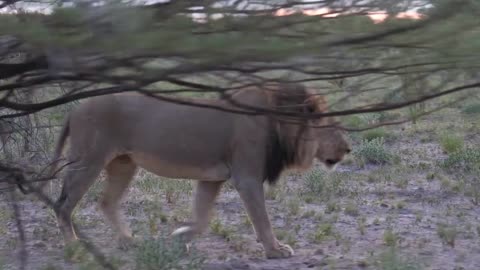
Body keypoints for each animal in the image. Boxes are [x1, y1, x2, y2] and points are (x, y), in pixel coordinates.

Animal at [47, 83, 350, 260]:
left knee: (107, 202)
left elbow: (203, 218)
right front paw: (276, 250)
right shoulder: (247, 178)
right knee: (63, 204)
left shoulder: (212, 178)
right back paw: (73, 246)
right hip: (88, 160)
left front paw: (178, 240)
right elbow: (262, 219)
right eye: (333, 128)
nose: (348, 149)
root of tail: (74, 108)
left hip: (123, 163)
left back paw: (128, 240)